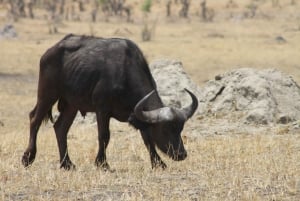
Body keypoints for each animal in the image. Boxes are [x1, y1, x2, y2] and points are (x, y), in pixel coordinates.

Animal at [21, 34, 199, 170]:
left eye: (180, 129)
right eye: (165, 130)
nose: (181, 154)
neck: (124, 74)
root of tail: (49, 52)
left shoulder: (139, 114)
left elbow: (147, 139)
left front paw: (158, 163)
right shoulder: (102, 110)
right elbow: (104, 136)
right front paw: (102, 163)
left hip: (72, 105)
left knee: (60, 128)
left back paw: (67, 164)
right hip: (47, 94)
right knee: (34, 119)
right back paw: (28, 157)